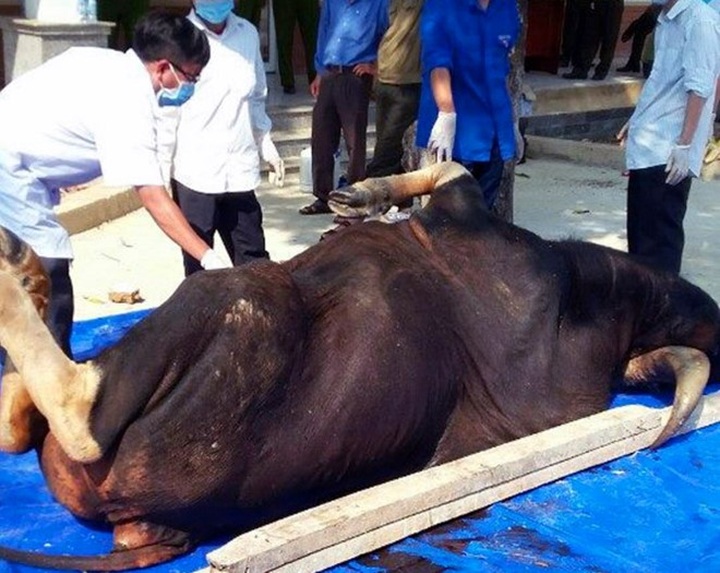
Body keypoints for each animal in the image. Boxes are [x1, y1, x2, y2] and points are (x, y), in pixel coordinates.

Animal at [0, 162, 718, 570]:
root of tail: (152, 526)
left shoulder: (469, 215)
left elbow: (454, 165)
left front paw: (367, 195)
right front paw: (363, 196)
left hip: (241, 301)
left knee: (78, 410)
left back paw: (18, 273)